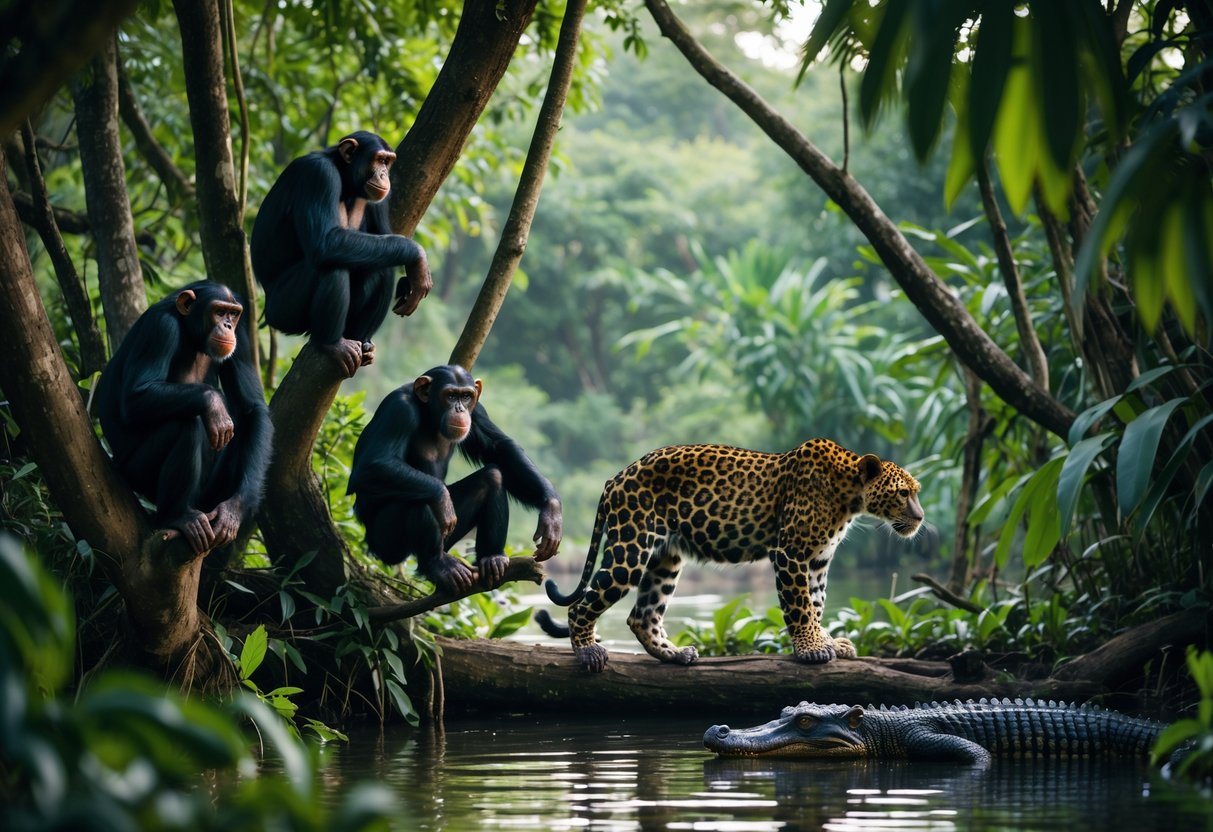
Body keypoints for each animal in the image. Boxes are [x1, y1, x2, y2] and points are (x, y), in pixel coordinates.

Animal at [536, 438, 923, 673]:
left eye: (916, 492)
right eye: (903, 493)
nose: (920, 518)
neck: (849, 495)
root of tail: (614, 479)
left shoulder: (818, 560)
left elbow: (816, 603)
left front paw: (827, 642)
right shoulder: (791, 553)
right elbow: (800, 605)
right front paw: (811, 649)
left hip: (666, 557)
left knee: (641, 615)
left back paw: (676, 654)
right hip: (630, 549)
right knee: (582, 605)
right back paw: (587, 651)